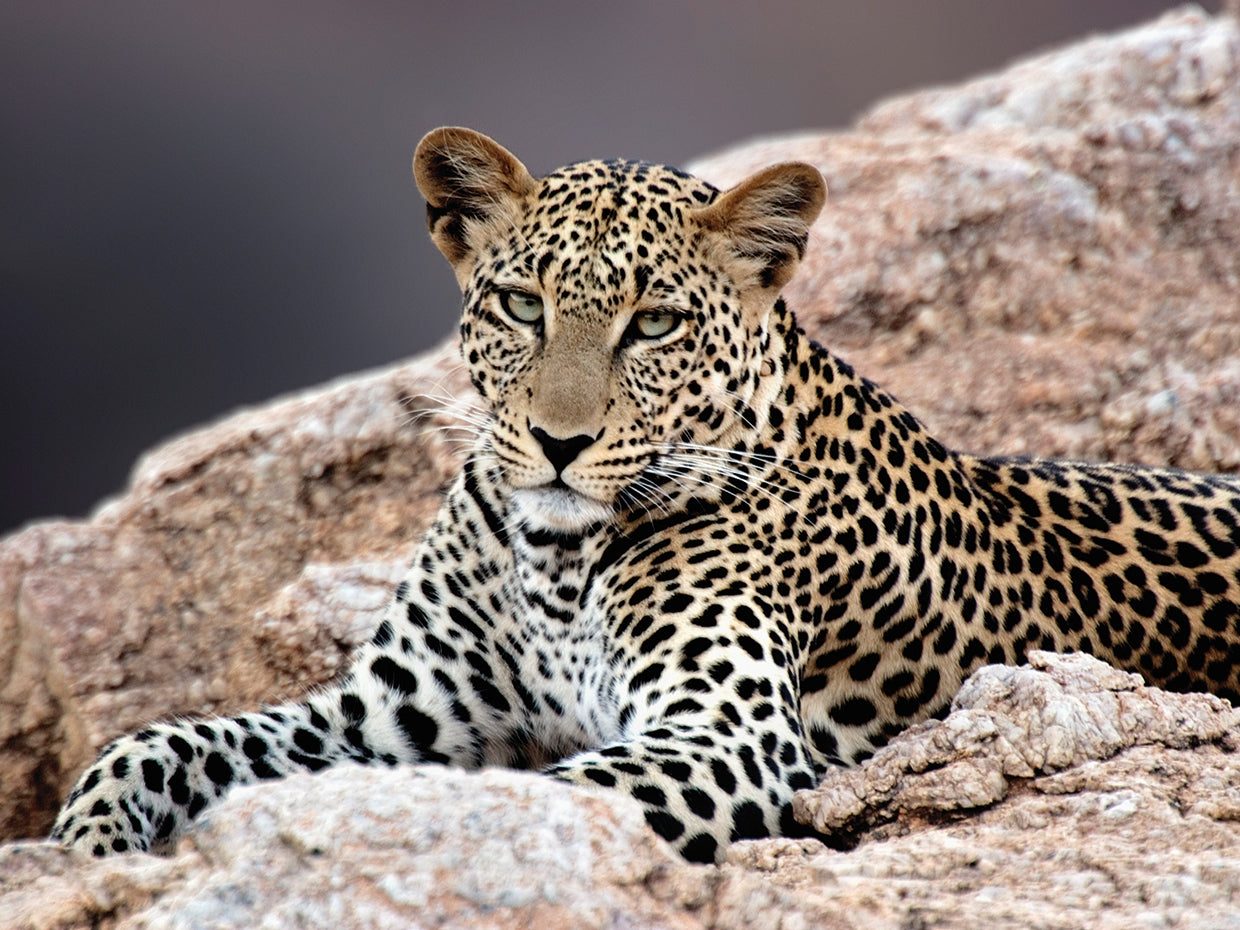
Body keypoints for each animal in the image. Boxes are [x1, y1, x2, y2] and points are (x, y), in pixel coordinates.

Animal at [52, 127, 1240, 865]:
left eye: (655, 324)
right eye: (522, 306)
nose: (557, 442)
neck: (554, 559)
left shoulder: (724, 736)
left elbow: (536, 799)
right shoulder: (389, 713)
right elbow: (156, 742)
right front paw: (89, 848)